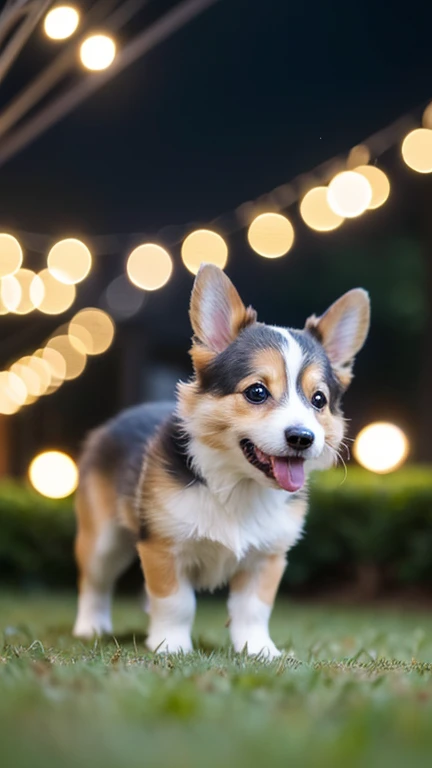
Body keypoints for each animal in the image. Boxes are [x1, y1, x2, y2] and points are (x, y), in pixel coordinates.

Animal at [72, 266, 370, 660]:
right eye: (256, 392)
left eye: (318, 400)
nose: (302, 438)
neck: (238, 485)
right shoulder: (162, 546)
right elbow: (176, 602)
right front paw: (171, 647)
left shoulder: (267, 557)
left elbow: (253, 609)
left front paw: (259, 650)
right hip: (103, 538)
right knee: (94, 581)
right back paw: (90, 627)